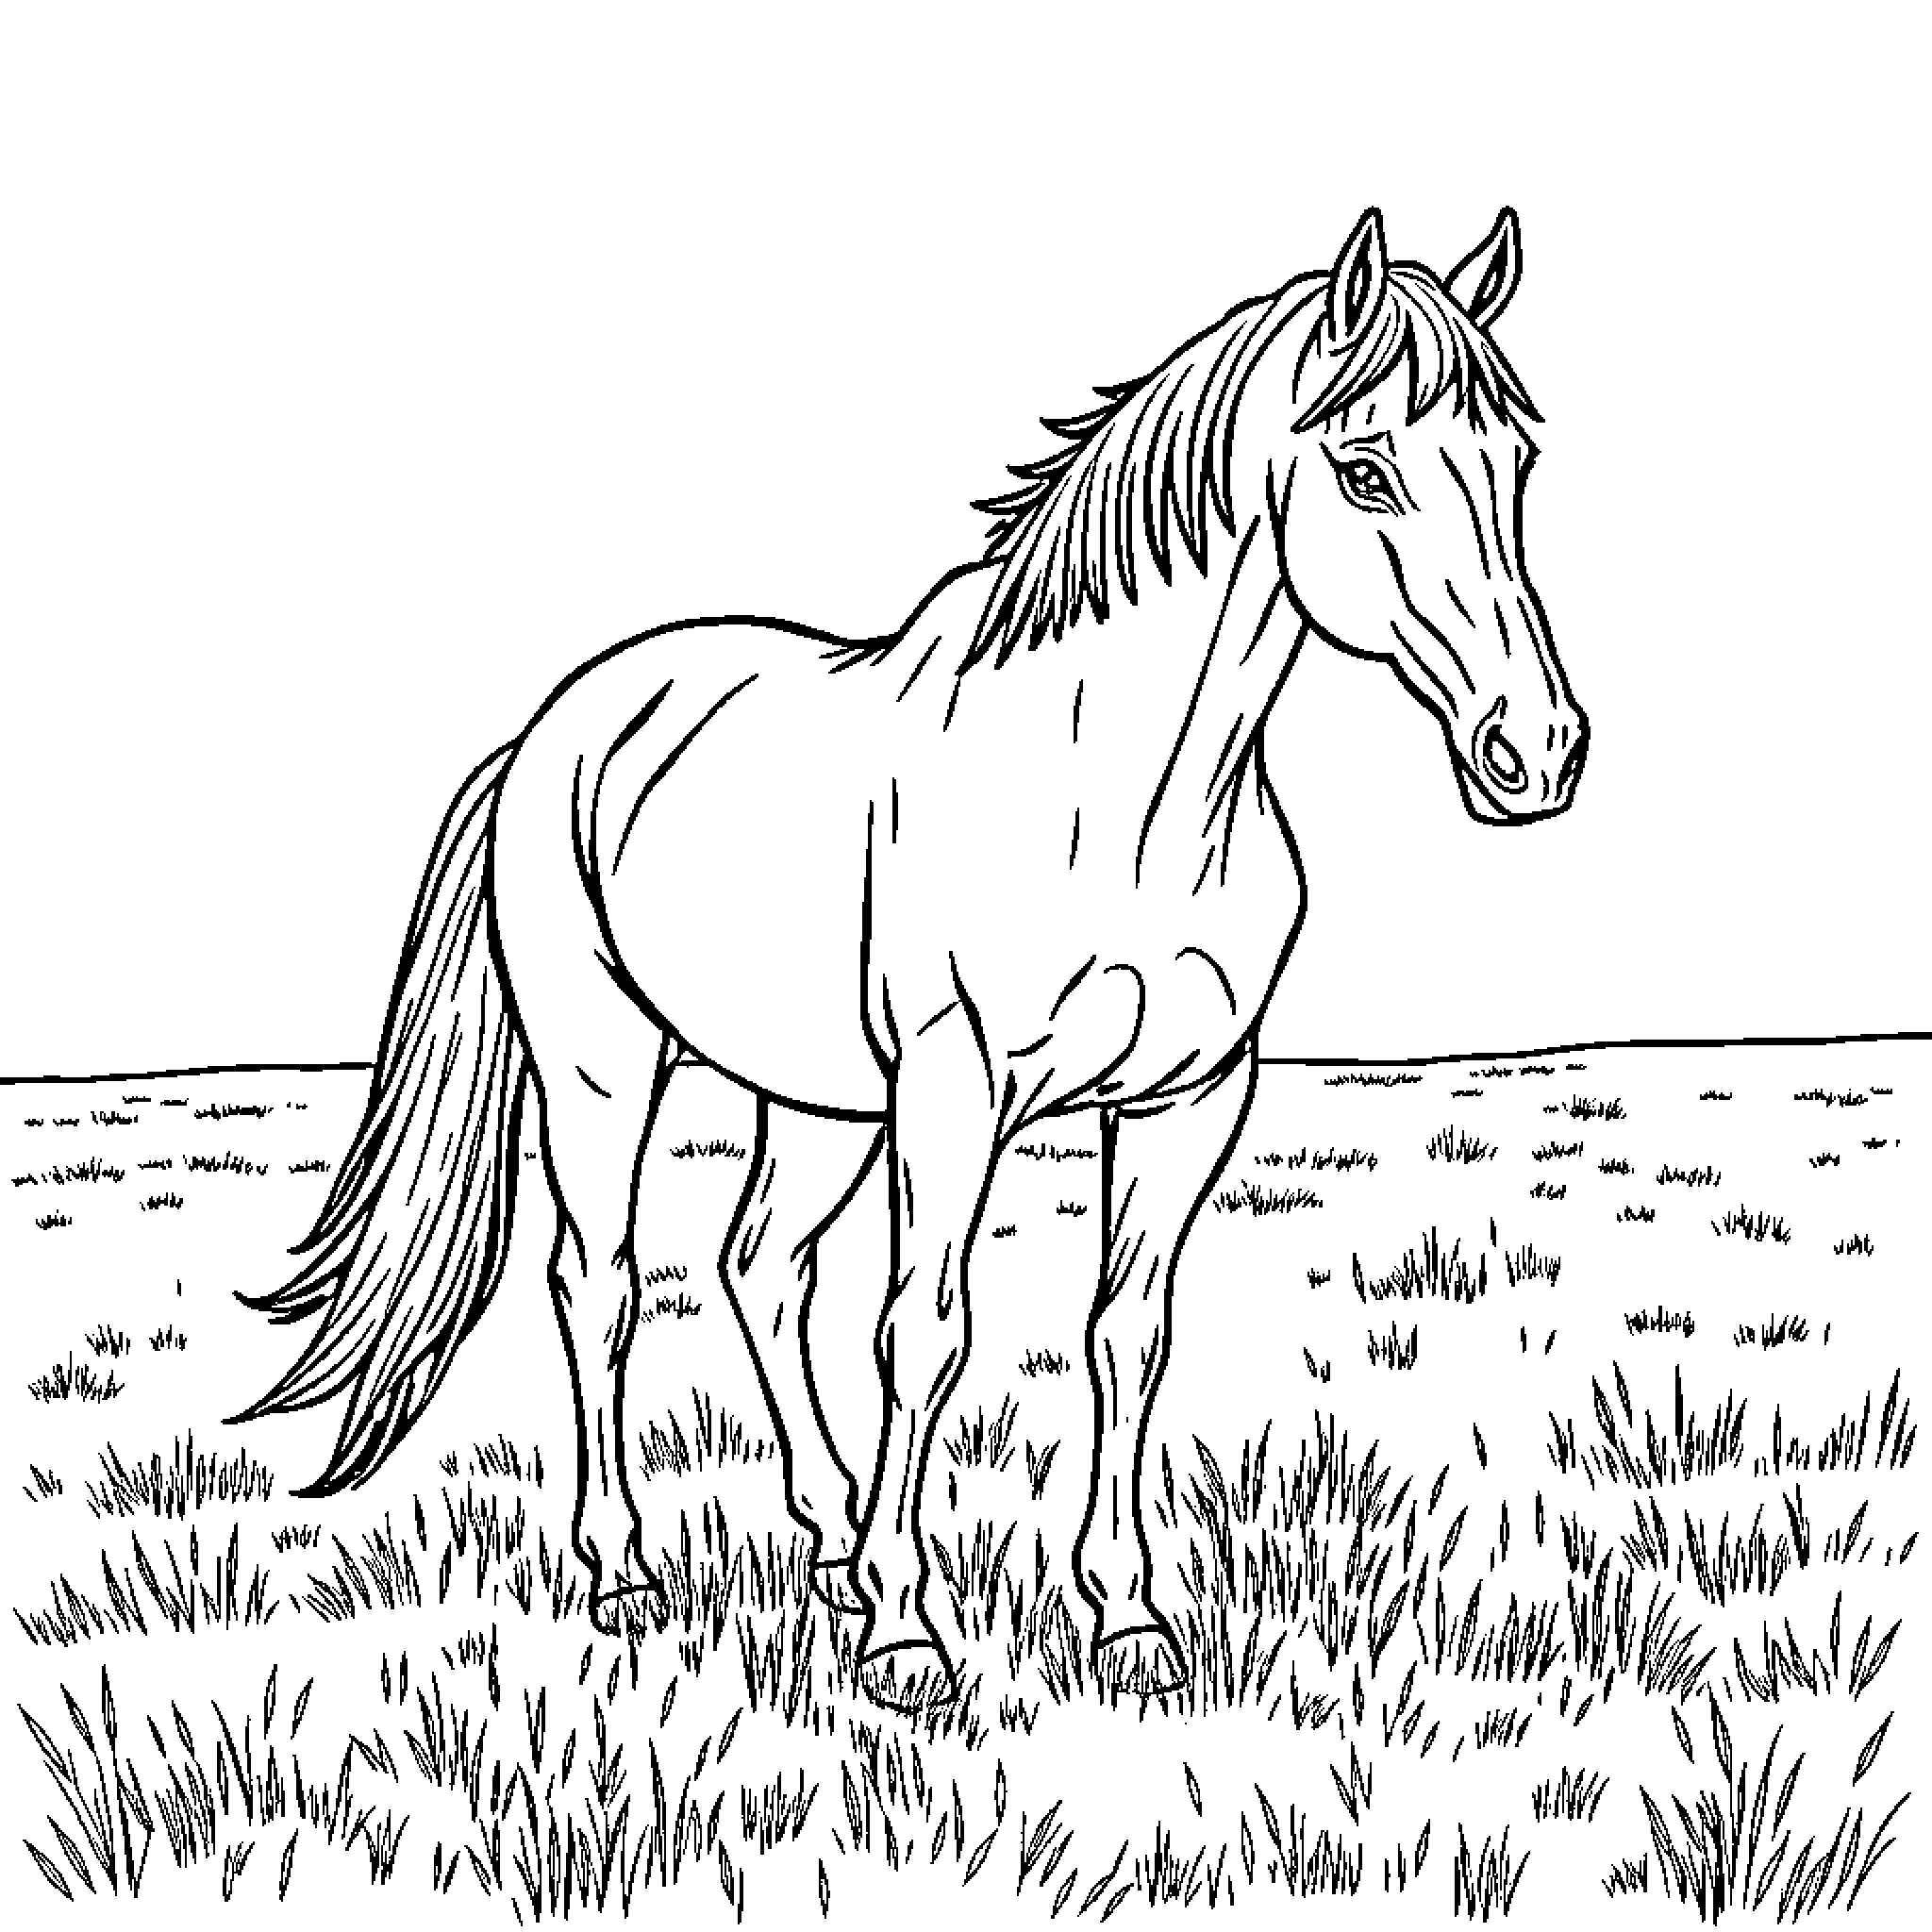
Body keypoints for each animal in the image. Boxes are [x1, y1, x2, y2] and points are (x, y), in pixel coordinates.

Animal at [234, 207, 1588, 1713]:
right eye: (1364, 471)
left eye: (1517, 463)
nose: (1536, 752)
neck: (1122, 797)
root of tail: (552, 728)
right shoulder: (955, 1088)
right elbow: (926, 1329)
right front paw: (906, 1632)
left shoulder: (1189, 1099)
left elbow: (1126, 1334)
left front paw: (1125, 1618)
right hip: (604, 1066)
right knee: (603, 1285)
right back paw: (629, 1573)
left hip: (818, 1103)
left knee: (758, 1268)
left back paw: (824, 1541)